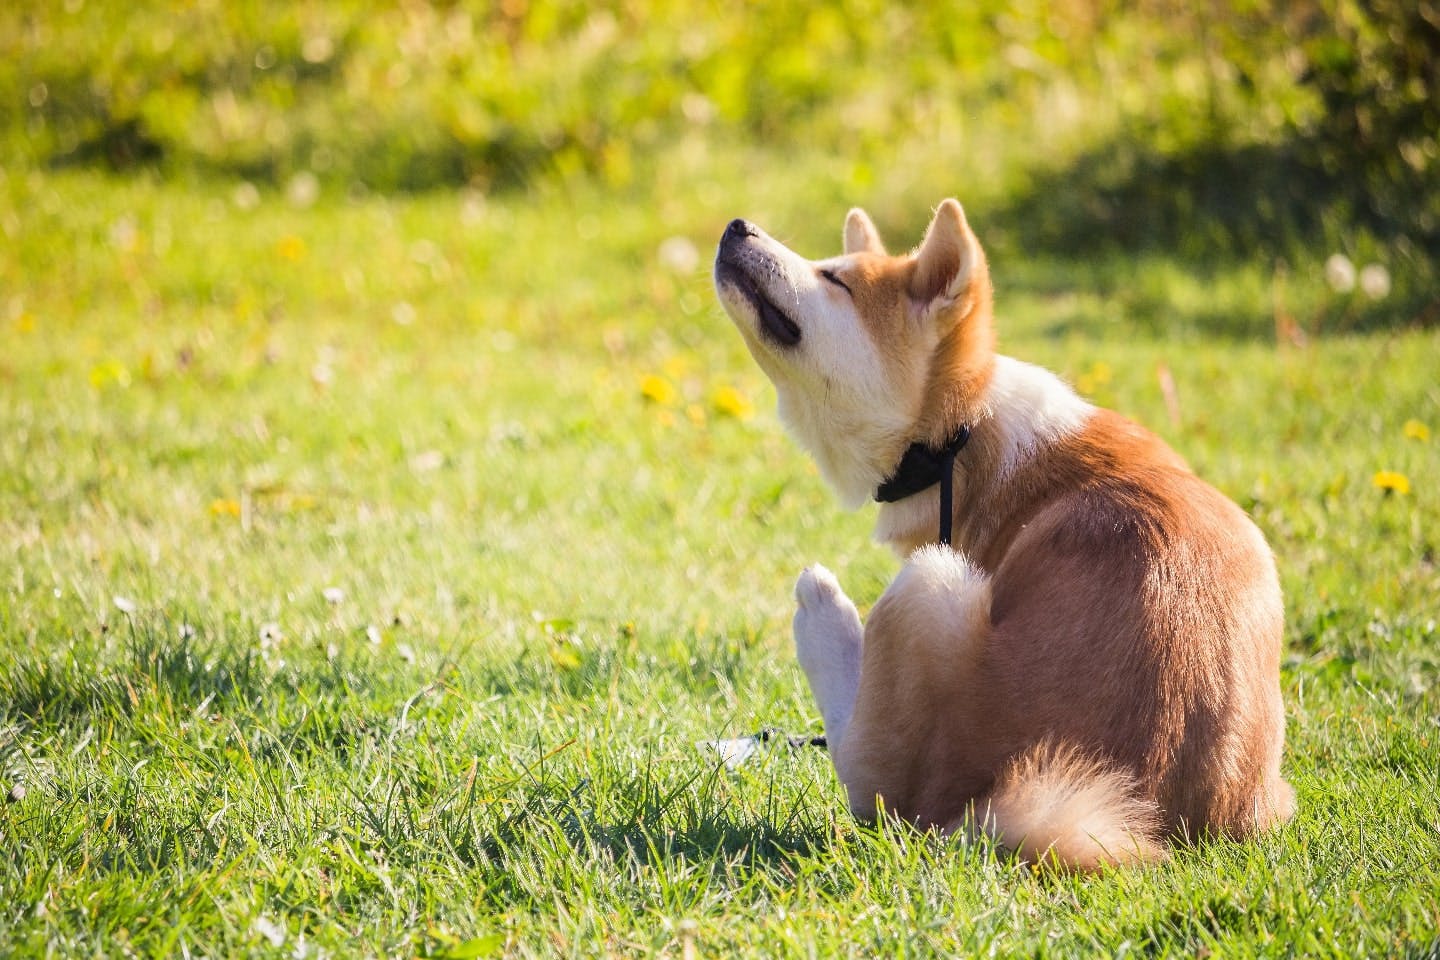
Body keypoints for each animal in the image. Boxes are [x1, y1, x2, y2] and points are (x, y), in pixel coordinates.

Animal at [714, 198, 1290, 869]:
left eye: (835, 279)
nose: (736, 226)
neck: (959, 434)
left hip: (928, 582)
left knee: (868, 777)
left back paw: (822, 611)